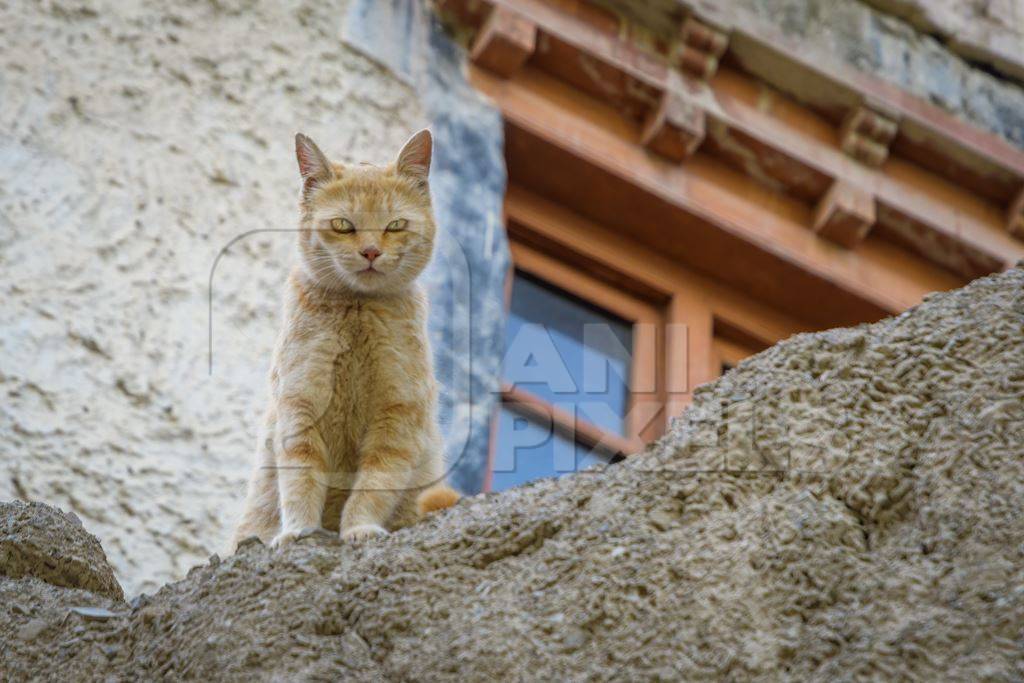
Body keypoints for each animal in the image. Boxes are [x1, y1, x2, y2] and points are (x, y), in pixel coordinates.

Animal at [235, 129, 460, 548]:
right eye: (342, 225)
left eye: (395, 225)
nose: (370, 251)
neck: (357, 310)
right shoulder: (300, 409)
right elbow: (301, 481)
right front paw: (297, 532)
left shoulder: (396, 419)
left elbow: (374, 485)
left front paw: (359, 529)